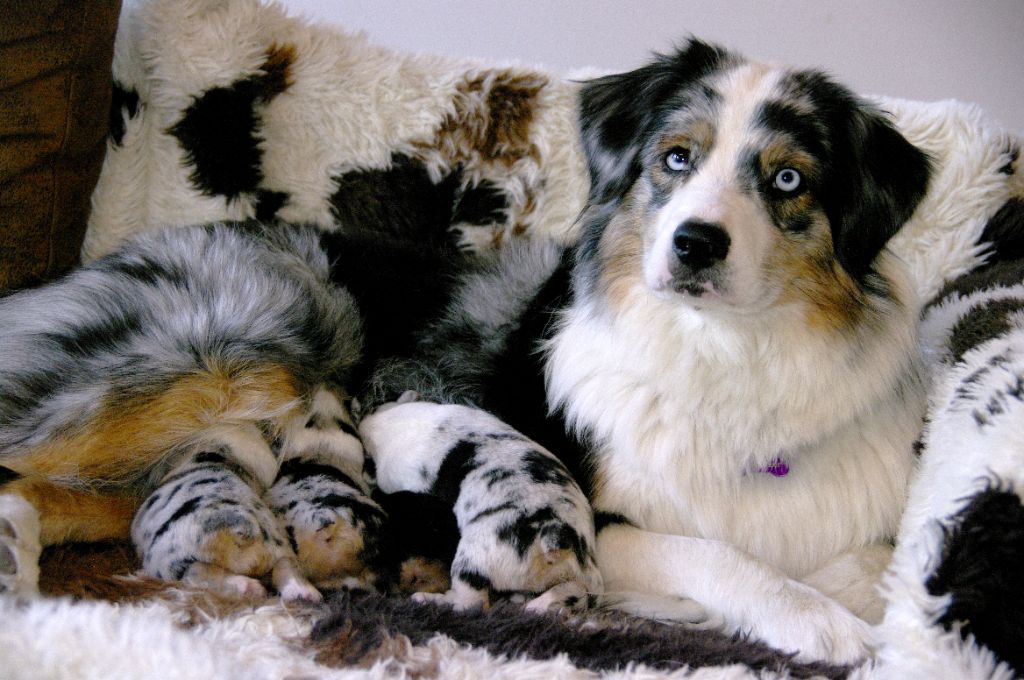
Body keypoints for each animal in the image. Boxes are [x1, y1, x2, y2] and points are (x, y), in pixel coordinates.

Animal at [130, 436, 319, 602]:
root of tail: (246, 531)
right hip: (282, 549)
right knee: (286, 566)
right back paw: (307, 595)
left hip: (168, 561)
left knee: (198, 573)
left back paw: (252, 589)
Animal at [548, 41, 933, 663]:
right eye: (678, 158)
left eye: (787, 178)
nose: (695, 243)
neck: (729, 346)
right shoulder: (600, 525)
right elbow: (714, 552)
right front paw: (816, 618)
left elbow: (879, 563)